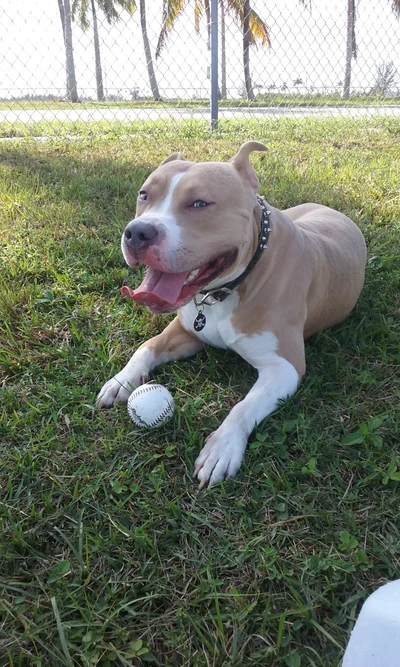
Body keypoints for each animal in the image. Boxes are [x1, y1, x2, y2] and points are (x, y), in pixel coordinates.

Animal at [97, 142, 366, 486]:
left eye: (200, 203)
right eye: (144, 195)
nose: (138, 232)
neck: (223, 291)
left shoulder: (284, 367)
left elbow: (243, 406)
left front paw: (222, 447)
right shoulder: (185, 332)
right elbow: (147, 347)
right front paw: (122, 379)